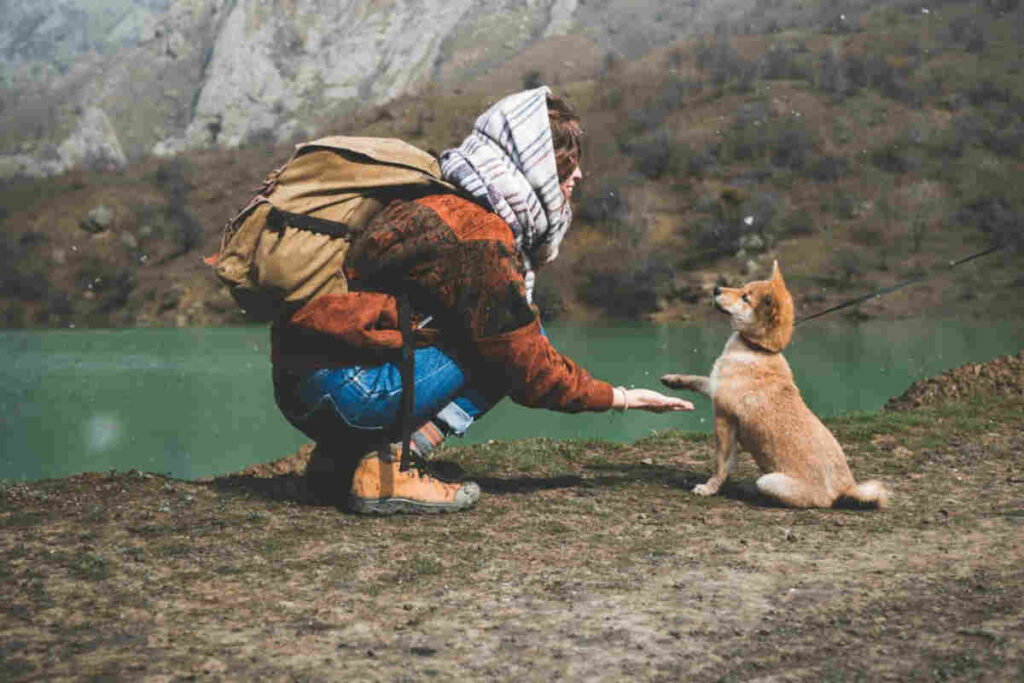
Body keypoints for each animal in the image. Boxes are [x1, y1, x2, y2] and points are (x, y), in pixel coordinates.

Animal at [663, 264, 888, 509]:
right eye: (742, 287)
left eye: (745, 297)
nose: (715, 289)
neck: (758, 349)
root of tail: (842, 491)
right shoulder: (714, 386)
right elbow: (695, 379)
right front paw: (672, 379)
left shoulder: (724, 417)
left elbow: (720, 464)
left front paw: (709, 487)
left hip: (769, 481)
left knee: (767, 490)